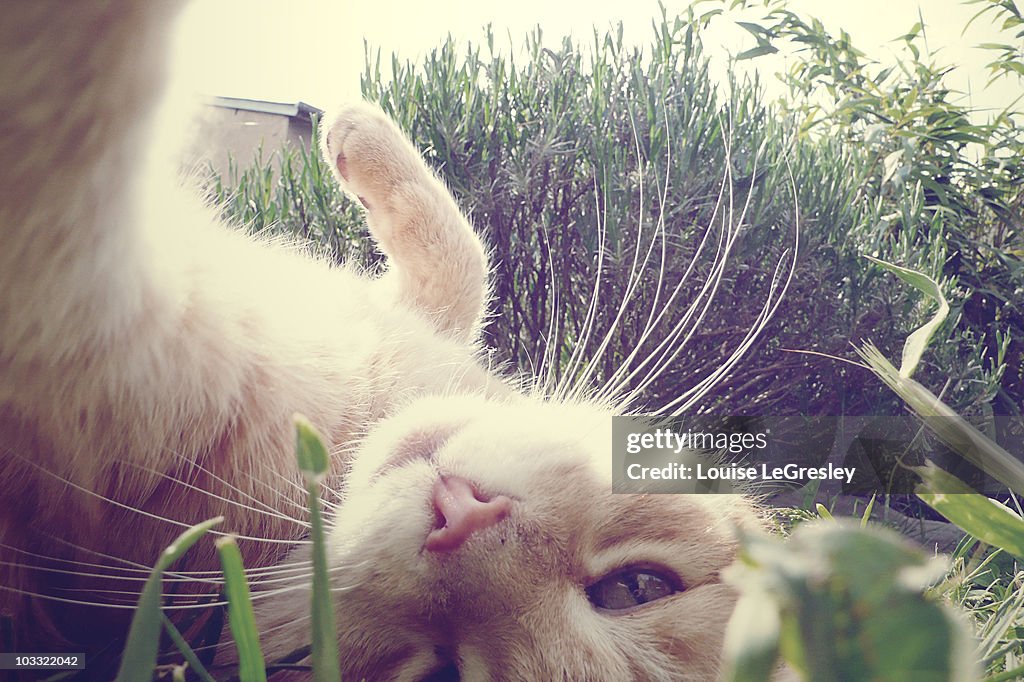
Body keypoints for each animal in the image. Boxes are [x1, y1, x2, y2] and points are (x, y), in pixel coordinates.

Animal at [2, 2, 770, 675]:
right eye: (639, 586)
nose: (463, 515)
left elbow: (83, 118)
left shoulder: (105, 325)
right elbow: (465, 260)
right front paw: (363, 134)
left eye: (442, 673)